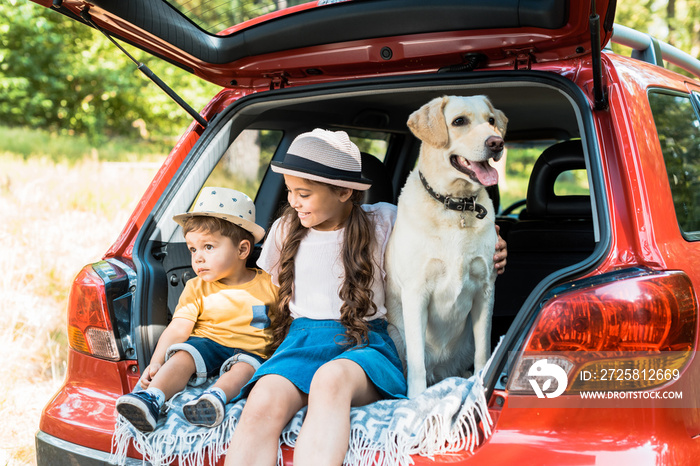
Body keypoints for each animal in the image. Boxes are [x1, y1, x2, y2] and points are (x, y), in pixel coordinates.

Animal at [386, 94, 506, 396]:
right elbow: (417, 362)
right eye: (459, 121)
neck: (456, 206)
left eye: (491, 120)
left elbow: (484, 352)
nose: (496, 142)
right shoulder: (416, 292)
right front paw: (415, 399)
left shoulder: (485, 290)